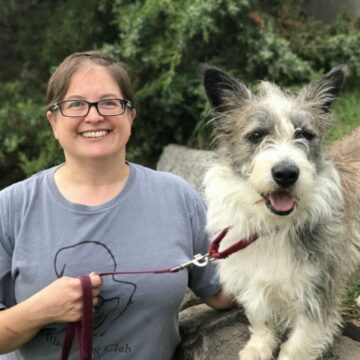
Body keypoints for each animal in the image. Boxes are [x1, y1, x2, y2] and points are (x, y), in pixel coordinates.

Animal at [201, 65, 360, 360]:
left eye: (304, 135)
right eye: (256, 135)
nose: (286, 173)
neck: (275, 225)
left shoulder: (319, 292)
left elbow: (299, 344)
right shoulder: (251, 275)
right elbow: (260, 317)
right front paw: (258, 347)